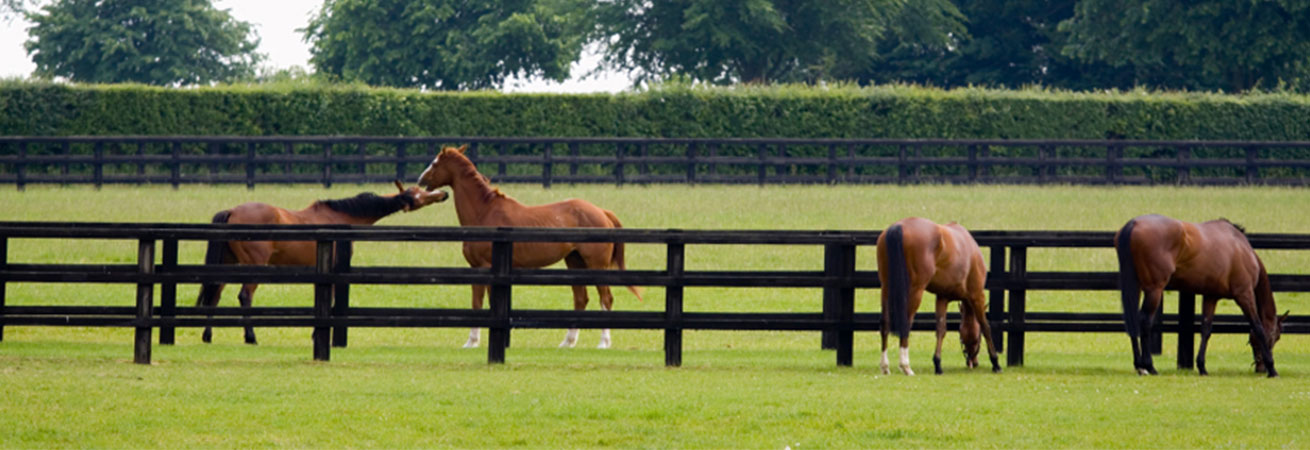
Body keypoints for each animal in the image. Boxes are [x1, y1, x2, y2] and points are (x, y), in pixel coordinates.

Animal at [193, 180, 448, 342]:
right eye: (419, 194)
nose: (443, 194)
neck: (339, 217)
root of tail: (232, 211)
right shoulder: (333, 271)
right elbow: (331, 301)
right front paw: (319, 335)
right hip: (253, 267)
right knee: (244, 296)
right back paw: (250, 337)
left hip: (228, 264)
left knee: (214, 295)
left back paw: (207, 335)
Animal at [413, 143, 639, 347]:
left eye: (435, 163)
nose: (420, 179)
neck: (484, 212)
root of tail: (602, 212)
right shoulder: (477, 268)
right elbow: (477, 304)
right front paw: (472, 342)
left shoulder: (486, 268)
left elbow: (486, 303)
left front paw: (476, 341)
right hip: (575, 262)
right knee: (581, 299)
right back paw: (568, 342)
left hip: (596, 265)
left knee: (606, 299)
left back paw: (603, 342)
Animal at [880, 215, 1000, 374]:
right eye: (974, 339)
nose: (972, 362)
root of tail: (899, 226)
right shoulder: (977, 296)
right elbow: (985, 326)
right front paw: (995, 362)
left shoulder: (942, 298)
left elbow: (941, 329)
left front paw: (937, 364)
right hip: (915, 291)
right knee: (906, 324)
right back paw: (906, 366)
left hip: (886, 289)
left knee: (885, 324)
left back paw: (885, 366)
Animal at [1116, 214, 1289, 376]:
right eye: (1276, 337)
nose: (1260, 368)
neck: (1241, 248)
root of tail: (1134, 223)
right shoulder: (1244, 294)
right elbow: (1258, 326)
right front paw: (1273, 369)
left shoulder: (1211, 296)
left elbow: (1206, 330)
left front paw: (1202, 366)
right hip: (1154, 290)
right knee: (1145, 321)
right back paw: (1149, 366)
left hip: (1137, 286)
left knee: (1133, 321)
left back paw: (1139, 365)